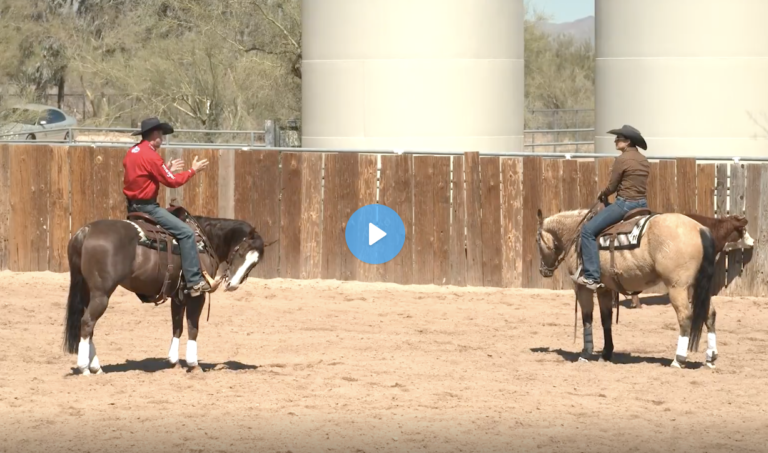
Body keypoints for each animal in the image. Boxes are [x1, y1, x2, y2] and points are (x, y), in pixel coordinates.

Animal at [62, 205, 268, 375]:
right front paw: (193, 364)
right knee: (87, 323)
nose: (232, 284)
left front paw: (174, 362)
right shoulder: (196, 295)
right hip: (101, 294)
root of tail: (86, 231)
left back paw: (96, 367)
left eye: (255, 263)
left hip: (88, 292)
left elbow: (177, 326)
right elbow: (193, 327)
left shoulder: (178, 295)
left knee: (87, 326)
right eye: (240, 252)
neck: (203, 240)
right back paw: (85, 368)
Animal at [536, 208, 717, 369]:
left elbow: (587, 318)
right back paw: (711, 358)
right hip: (698, 287)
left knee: (685, 317)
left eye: (537, 241)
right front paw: (606, 353)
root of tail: (699, 229)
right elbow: (606, 320)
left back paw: (678, 359)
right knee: (710, 315)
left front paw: (585, 354)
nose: (543, 270)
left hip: (677, 287)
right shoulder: (604, 289)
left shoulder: (582, 288)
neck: (576, 236)